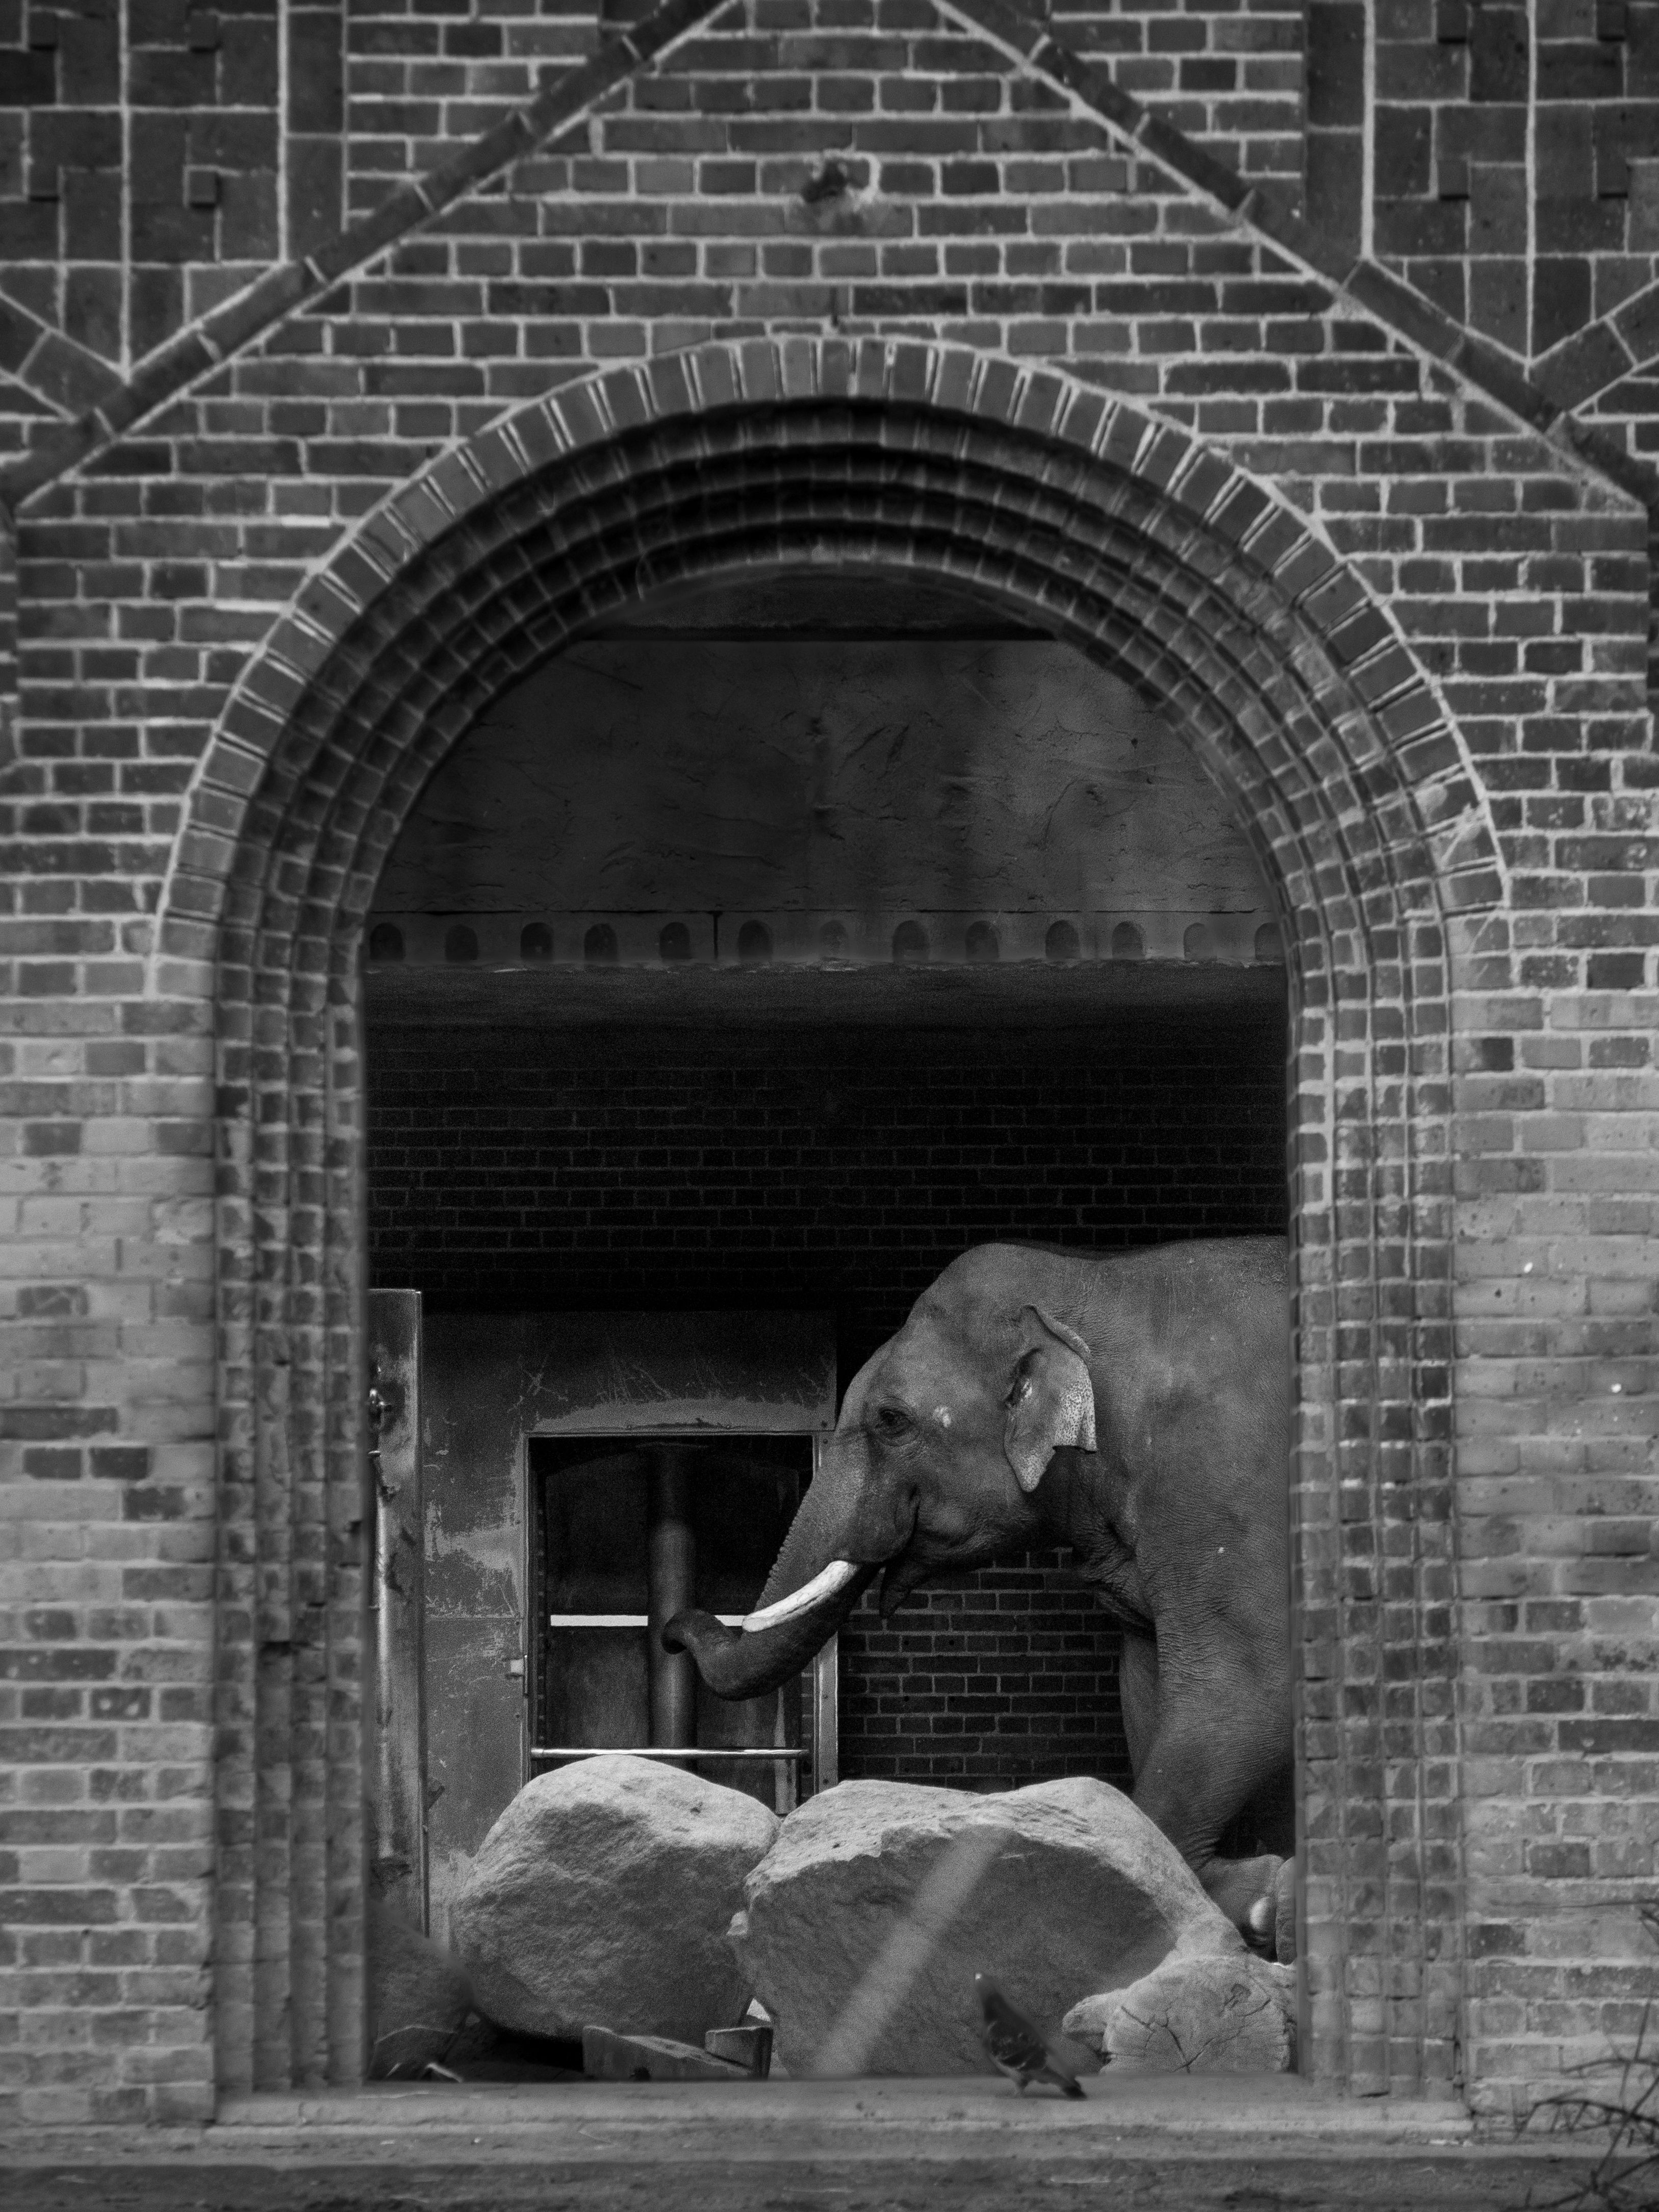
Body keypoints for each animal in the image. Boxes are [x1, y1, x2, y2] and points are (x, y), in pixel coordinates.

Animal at [664, 1235, 1295, 1956]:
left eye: (891, 1420)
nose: (671, 1628)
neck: (1095, 1280)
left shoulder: (1221, 1480)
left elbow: (1246, 1689)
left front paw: (1253, 1894)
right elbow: (1146, 1684)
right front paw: (1255, 1886)